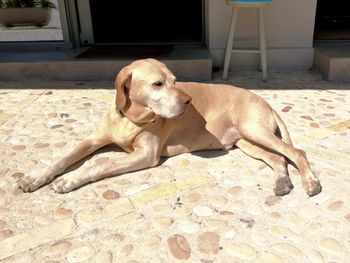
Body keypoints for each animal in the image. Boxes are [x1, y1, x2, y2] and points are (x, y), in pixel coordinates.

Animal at [17, 58, 322, 197]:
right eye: (157, 84)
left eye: (175, 81)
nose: (188, 101)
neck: (130, 119)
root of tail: (264, 99)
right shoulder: (91, 140)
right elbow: (63, 157)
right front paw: (35, 177)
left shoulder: (146, 155)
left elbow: (101, 164)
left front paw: (69, 180)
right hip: (247, 141)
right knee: (278, 158)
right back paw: (283, 181)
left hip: (254, 130)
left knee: (298, 152)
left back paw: (310, 181)